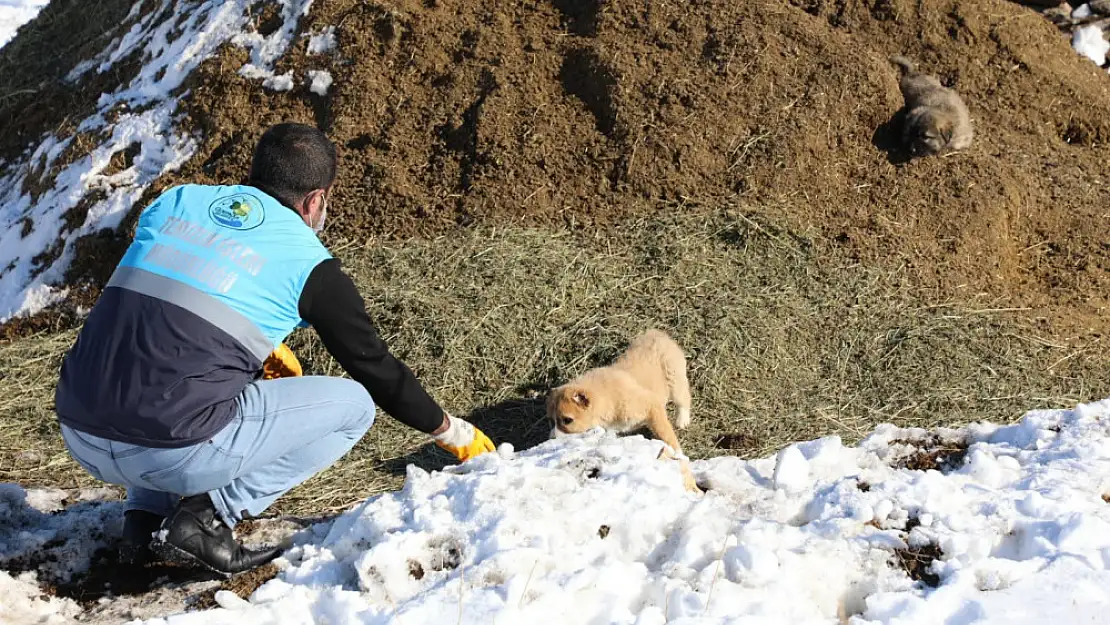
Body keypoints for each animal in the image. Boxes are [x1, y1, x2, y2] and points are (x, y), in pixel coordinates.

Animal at [548, 330, 697, 497]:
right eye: (551, 420)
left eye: (567, 420)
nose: (551, 439)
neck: (607, 398)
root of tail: (657, 333)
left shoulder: (653, 407)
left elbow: (668, 436)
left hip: (675, 379)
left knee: (684, 399)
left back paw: (682, 420)